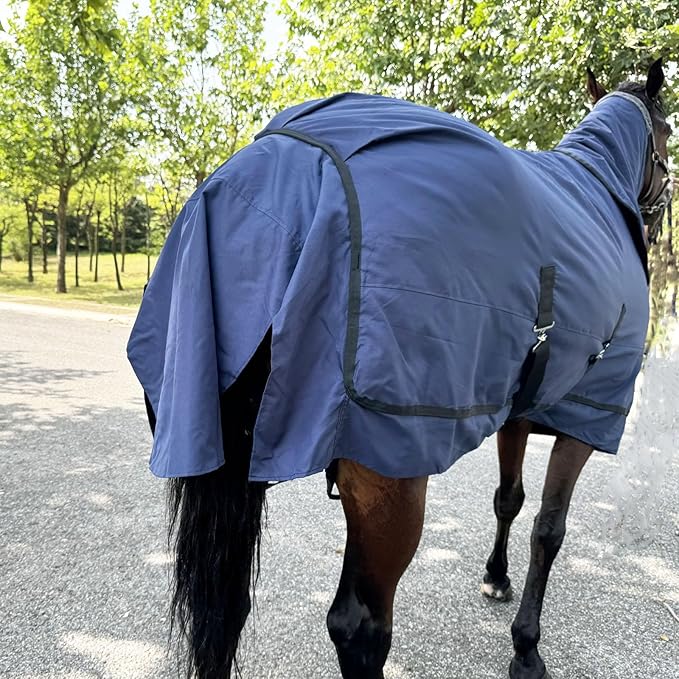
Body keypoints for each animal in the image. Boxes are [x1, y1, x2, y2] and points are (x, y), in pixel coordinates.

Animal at [127, 59, 672, 679]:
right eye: (668, 132)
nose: (661, 215)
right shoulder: (587, 413)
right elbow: (549, 529)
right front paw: (527, 647)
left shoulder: (520, 407)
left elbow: (509, 499)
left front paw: (496, 578)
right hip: (390, 472)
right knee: (359, 627)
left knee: (228, 609)